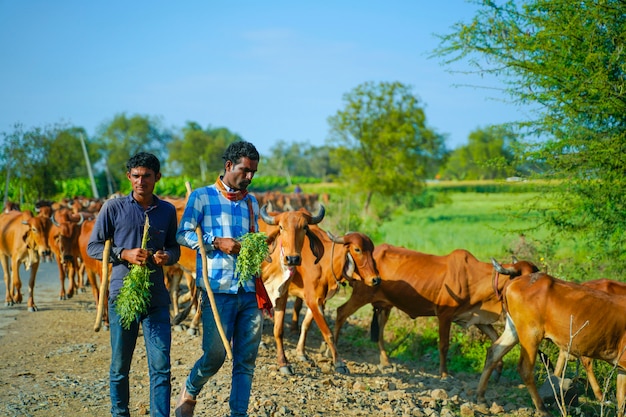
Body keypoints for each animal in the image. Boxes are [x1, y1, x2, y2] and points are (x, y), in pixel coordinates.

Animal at [332, 244, 536, 376]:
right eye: (524, 276)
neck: (475, 279)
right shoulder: (445, 315)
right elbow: (444, 345)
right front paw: (444, 374)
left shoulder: (476, 318)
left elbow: (496, 340)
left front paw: (499, 368)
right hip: (361, 295)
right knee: (340, 313)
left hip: (385, 304)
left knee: (380, 330)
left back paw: (385, 360)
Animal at [476, 268, 624, 414]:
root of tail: (514, 282)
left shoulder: (621, 368)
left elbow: (621, 401)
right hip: (531, 334)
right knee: (525, 369)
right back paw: (542, 408)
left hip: (513, 330)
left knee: (493, 352)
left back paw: (481, 398)